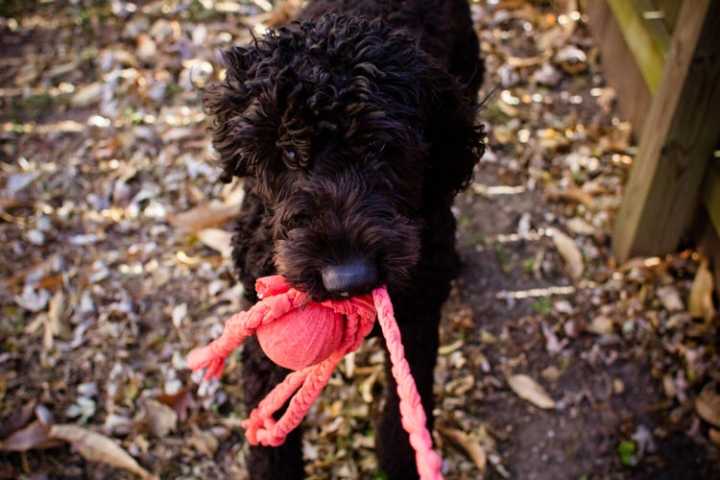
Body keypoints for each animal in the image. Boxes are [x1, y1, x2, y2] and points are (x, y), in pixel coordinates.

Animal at [202, 1, 484, 478]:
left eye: (384, 149)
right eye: (289, 153)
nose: (349, 279)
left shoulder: (417, 319)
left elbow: (408, 405)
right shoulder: (262, 339)